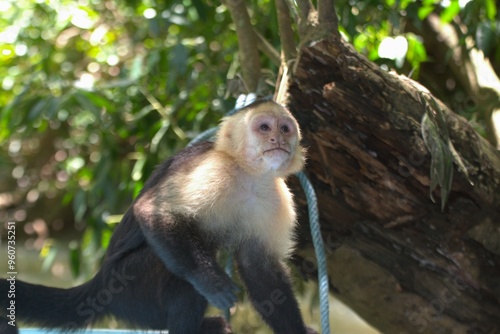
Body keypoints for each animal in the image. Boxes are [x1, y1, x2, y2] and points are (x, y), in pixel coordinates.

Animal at [0, 100, 316, 334]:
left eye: (285, 128)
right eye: (264, 127)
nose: (277, 139)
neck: (250, 175)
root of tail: (100, 282)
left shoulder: (276, 198)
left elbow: (260, 268)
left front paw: (297, 331)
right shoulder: (214, 170)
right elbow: (152, 210)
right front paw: (212, 282)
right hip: (128, 290)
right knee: (179, 279)